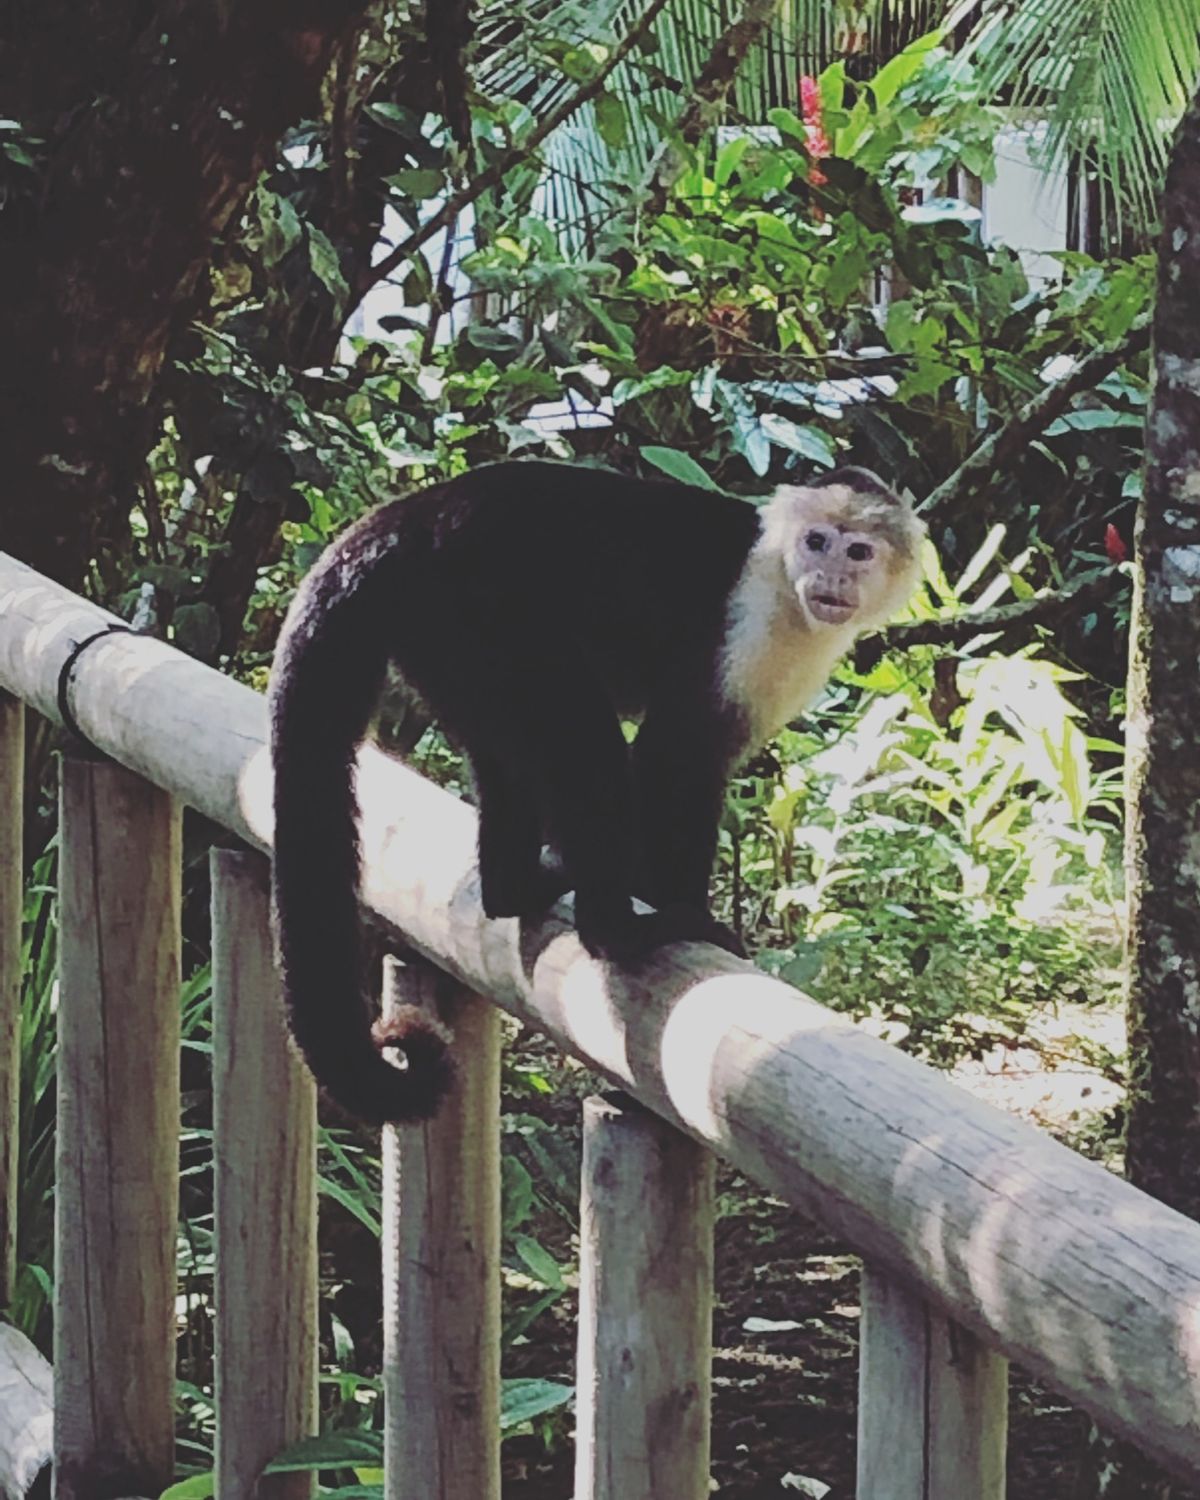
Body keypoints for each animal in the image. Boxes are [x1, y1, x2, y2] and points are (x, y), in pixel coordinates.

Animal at [268, 460, 925, 1124]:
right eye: (817, 541)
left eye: (858, 551)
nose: (831, 576)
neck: (784, 585)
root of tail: (408, 516)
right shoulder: (749, 626)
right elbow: (674, 758)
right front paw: (681, 908)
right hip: (480, 605)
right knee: (584, 745)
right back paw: (617, 931)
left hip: (444, 639)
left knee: (509, 756)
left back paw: (517, 887)